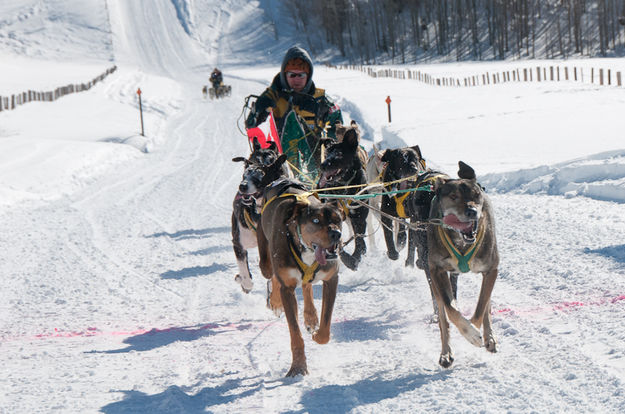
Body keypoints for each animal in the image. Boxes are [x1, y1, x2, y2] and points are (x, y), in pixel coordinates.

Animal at [256, 178, 344, 376]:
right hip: (266, 261)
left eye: (338, 220)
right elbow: (295, 333)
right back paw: (275, 301)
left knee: (306, 285)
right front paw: (297, 367)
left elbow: (326, 324)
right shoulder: (288, 288)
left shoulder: (331, 279)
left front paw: (317, 335)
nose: (337, 234)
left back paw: (311, 316)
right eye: (316, 220)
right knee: (272, 275)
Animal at [426, 160, 500, 368]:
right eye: (453, 196)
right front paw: (470, 334)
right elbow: (451, 309)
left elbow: (481, 307)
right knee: (443, 317)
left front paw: (476, 331)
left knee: (486, 304)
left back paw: (489, 337)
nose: (472, 211)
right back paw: (446, 353)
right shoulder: (437, 271)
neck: (462, 242)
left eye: (476, 195)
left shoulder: (491, 269)